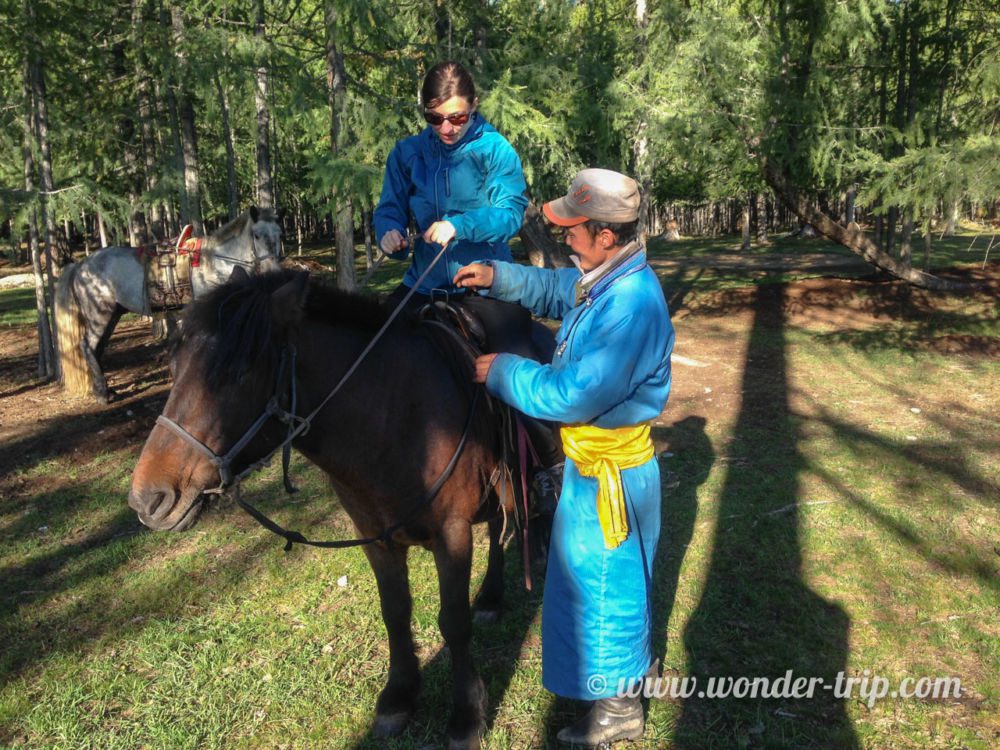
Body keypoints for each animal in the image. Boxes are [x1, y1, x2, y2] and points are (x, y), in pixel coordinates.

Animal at [55, 207, 283, 403]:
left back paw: (106, 390)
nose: (273, 268)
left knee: (97, 348)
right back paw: (103, 394)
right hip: (99, 314)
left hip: (113, 314)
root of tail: (80, 266)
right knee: (87, 346)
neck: (217, 262)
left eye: (279, 234)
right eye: (256, 235)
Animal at [128, 269, 518, 750]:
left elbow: (454, 621)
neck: (401, 420)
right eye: (174, 368)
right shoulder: (376, 539)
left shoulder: (453, 532)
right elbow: (395, 612)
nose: (148, 499)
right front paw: (398, 698)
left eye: (237, 375)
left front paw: (467, 715)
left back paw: (493, 597)